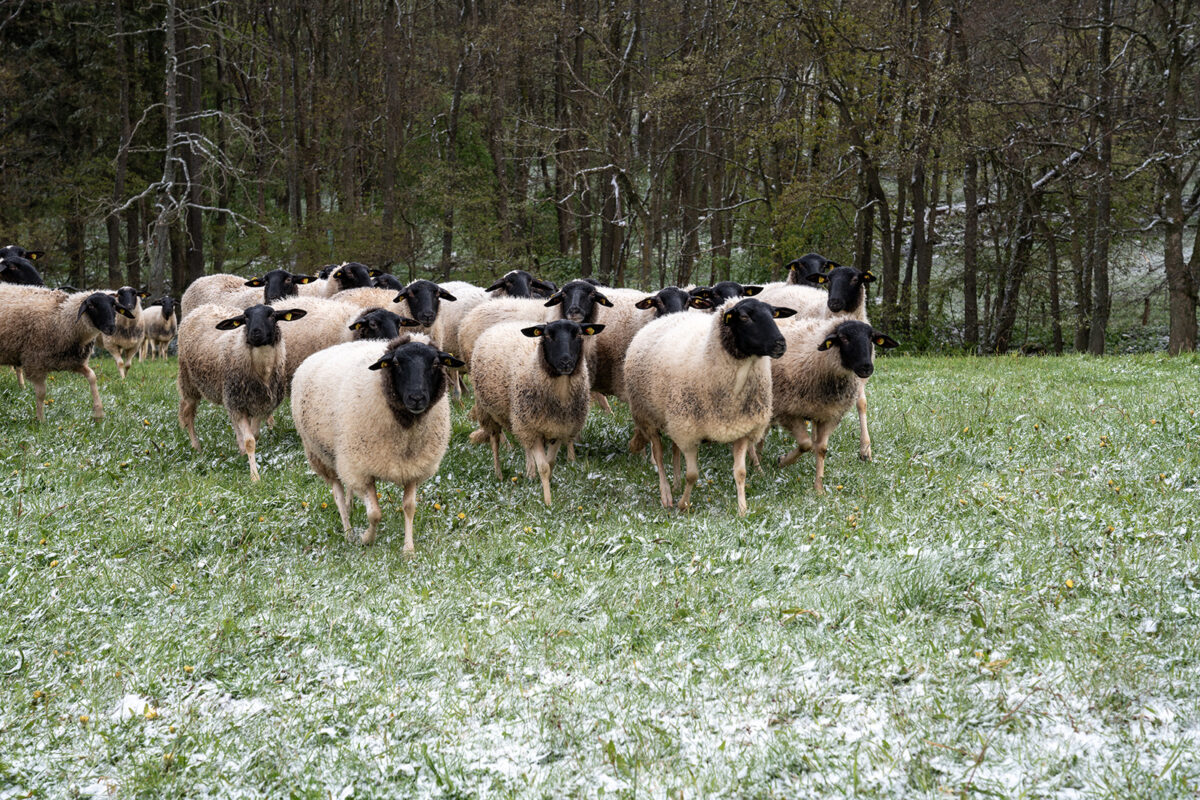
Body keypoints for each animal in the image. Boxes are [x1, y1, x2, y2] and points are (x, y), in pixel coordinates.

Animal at [0, 287, 133, 424]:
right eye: (91, 306)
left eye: (113, 305)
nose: (111, 328)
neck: (61, 317)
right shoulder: (35, 362)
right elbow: (41, 394)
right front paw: (41, 420)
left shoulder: (73, 361)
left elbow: (92, 377)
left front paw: (98, 413)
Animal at [465, 321, 600, 503]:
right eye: (547, 335)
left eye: (578, 334)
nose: (566, 362)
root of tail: (502, 324)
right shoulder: (532, 429)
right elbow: (544, 467)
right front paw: (548, 502)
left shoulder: (558, 429)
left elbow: (550, 463)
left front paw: (546, 484)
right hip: (488, 411)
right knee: (495, 442)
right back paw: (499, 475)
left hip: (519, 418)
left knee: (525, 446)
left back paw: (530, 473)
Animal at [619, 297, 796, 515]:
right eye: (744, 317)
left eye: (774, 314)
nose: (780, 343)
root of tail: (667, 317)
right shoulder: (689, 432)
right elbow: (692, 475)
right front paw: (683, 505)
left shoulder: (742, 429)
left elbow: (741, 472)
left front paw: (742, 509)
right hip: (648, 416)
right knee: (659, 456)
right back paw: (667, 494)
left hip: (673, 417)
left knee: (675, 450)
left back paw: (676, 484)